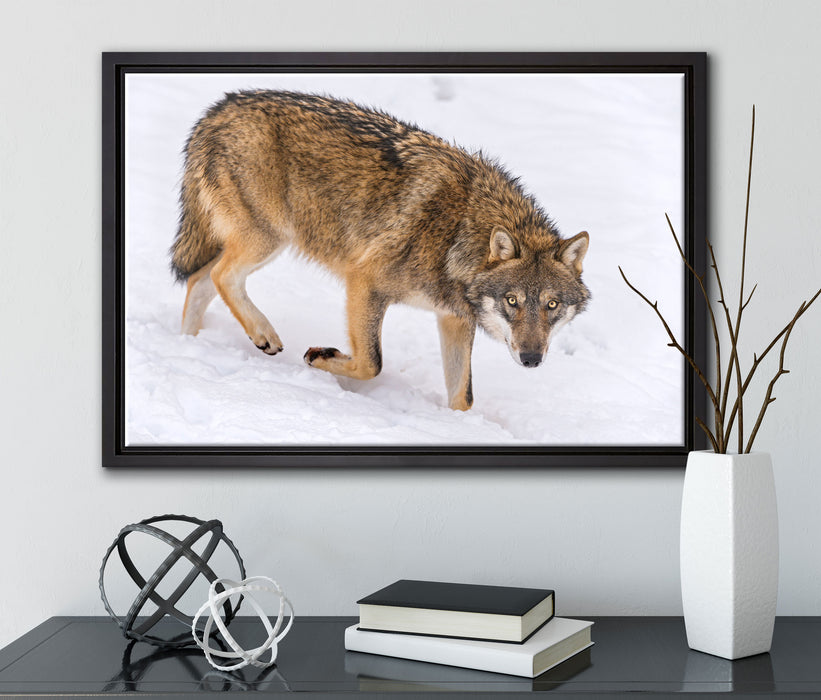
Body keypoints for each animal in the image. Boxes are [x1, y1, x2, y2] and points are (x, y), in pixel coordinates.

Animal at [170, 90, 590, 411]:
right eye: (512, 301)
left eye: (552, 305)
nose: (531, 359)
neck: (459, 233)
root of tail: (218, 108)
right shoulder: (364, 282)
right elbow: (372, 363)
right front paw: (319, 358)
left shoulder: (453, 319)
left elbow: (463, 397)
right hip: (268, 239)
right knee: (220, 276)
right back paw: (262, 334)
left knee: (200, 280)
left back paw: (186, 346)